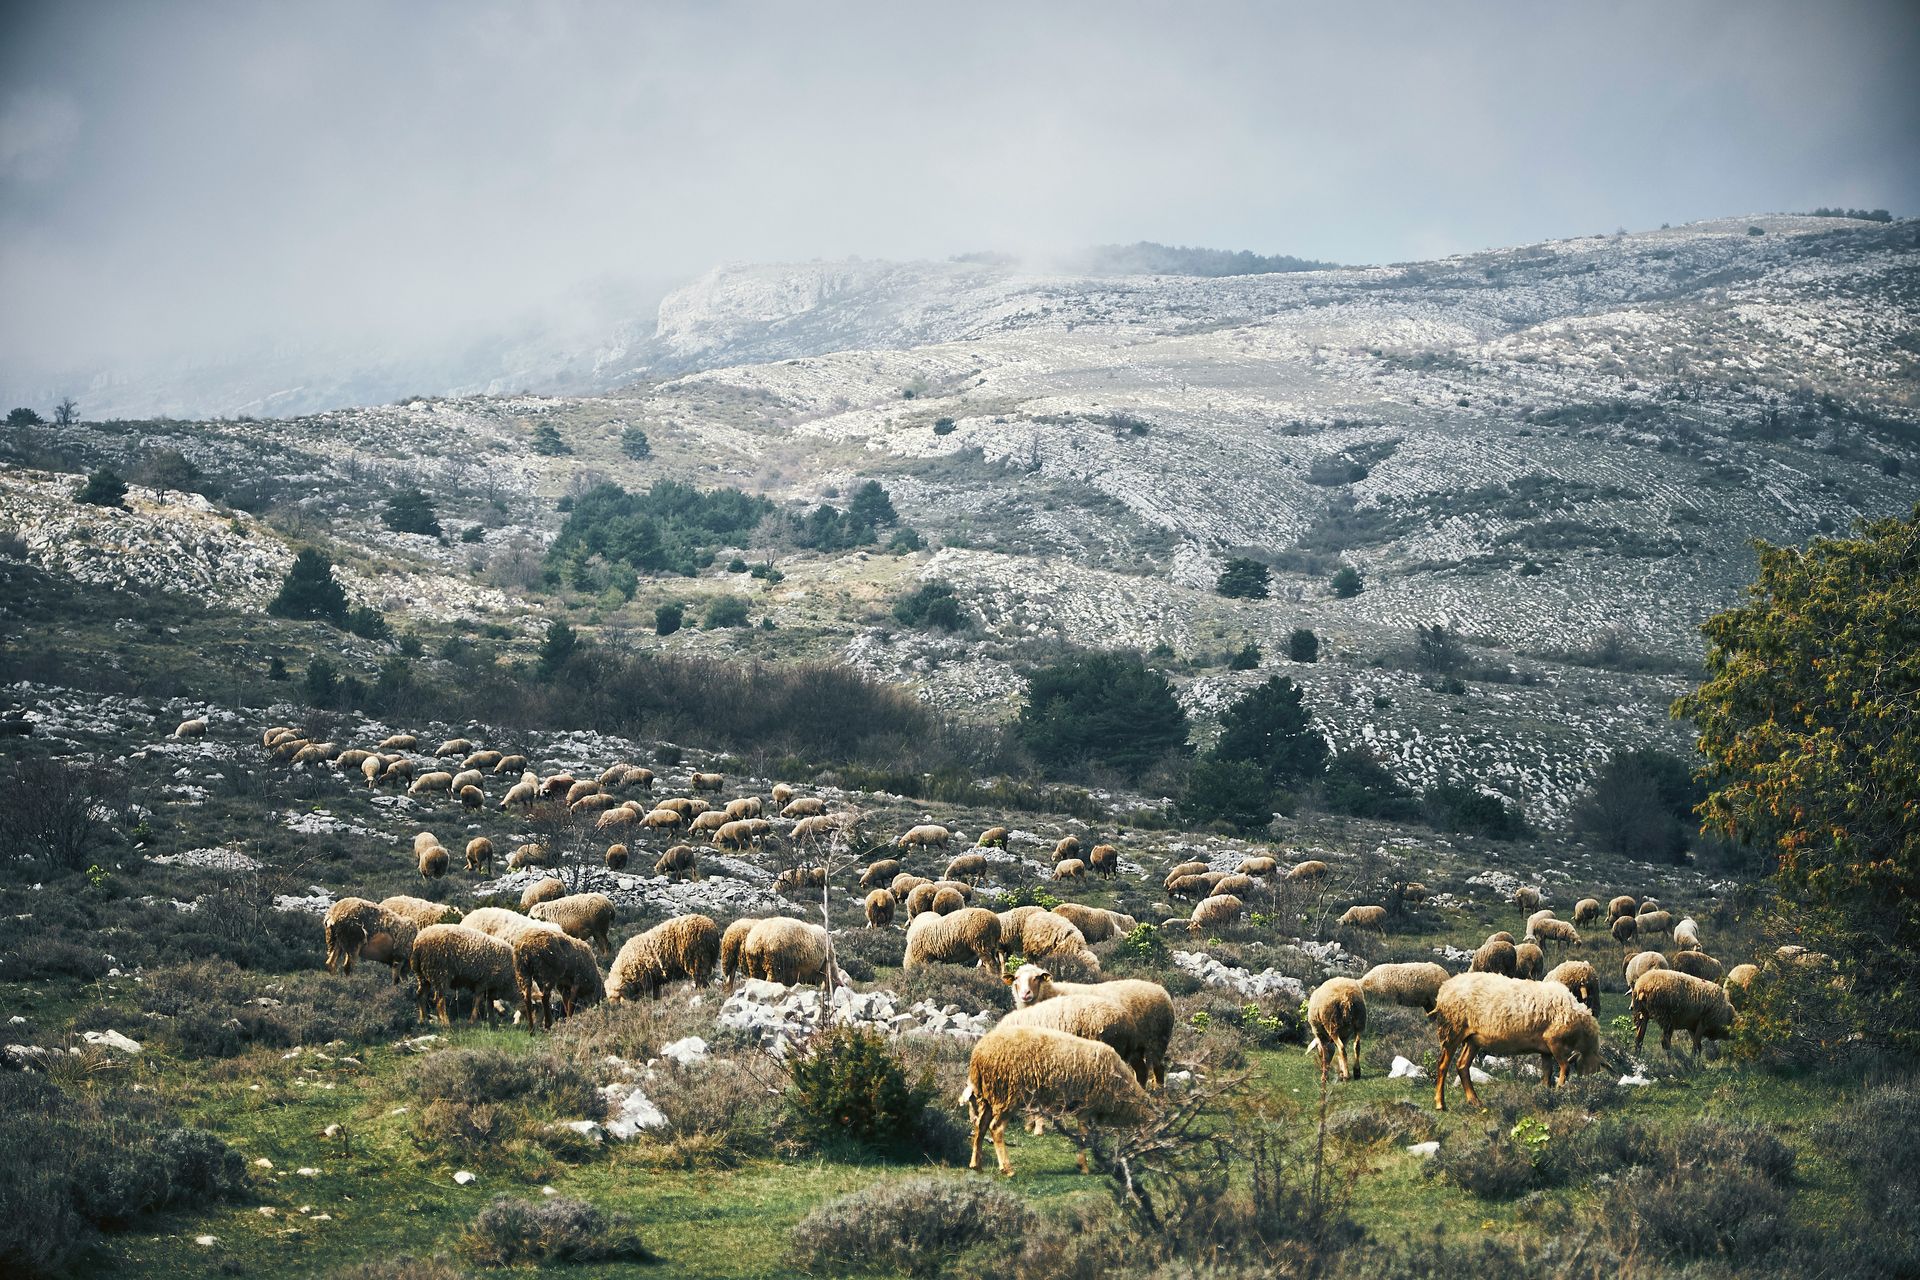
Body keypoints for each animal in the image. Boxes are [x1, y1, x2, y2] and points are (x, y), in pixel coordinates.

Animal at [967, 1028, 1144, 1174]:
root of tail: (978, 1054)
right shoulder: (1086, 1107)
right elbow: (1084, 1136)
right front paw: (1084, 1167)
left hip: (988, 1096)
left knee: (980, 1126)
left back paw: (976, 1165)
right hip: (1007, 1095)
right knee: (996, 1128)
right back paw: (1007, 1169)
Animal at [1428, 974, 1605, 1105]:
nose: (1588, 1088)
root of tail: (1444, 988)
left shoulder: (1546, 1050)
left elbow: (1547, 1072)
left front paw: (1545, 1092)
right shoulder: (1554, 1041)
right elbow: (1565, 1068)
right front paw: (1559, 1090)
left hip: (1473, 1039)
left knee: (1462, 1065)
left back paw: (1475, 1101)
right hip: (1452, 1029)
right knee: (1443, 1065)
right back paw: (1440, 1103)